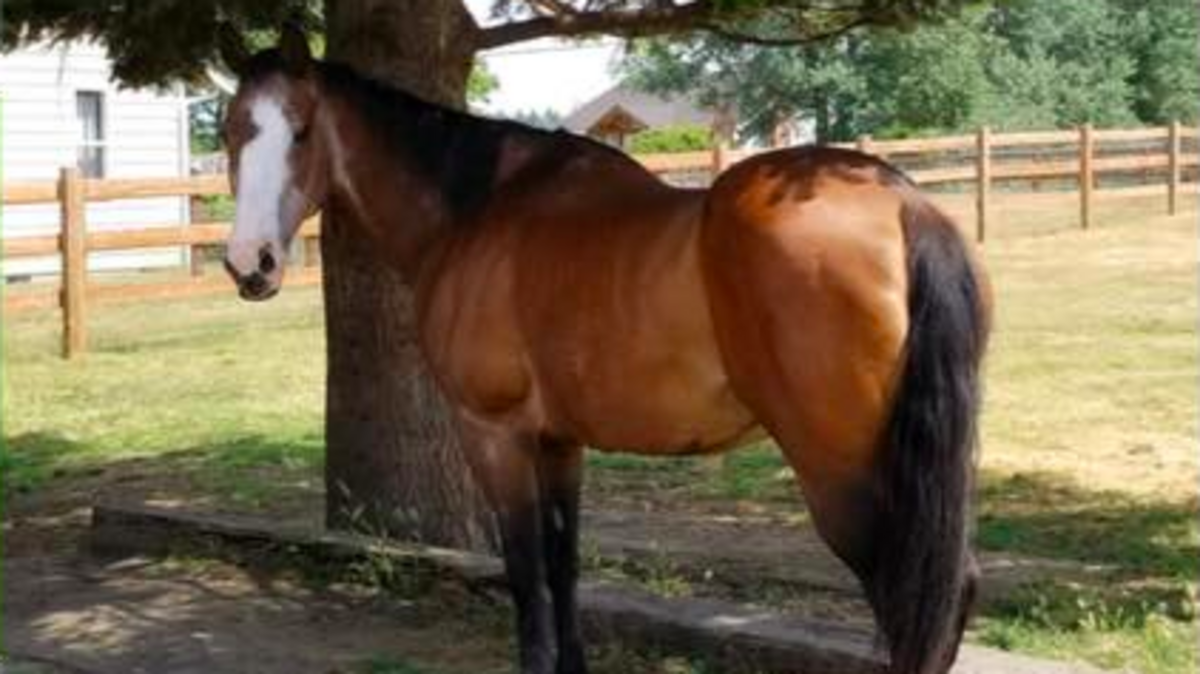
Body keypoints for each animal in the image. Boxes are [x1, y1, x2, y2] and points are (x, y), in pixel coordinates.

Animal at [219, 27, 990, 674]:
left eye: (301, 130)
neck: (478, 208)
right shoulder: (560, 441)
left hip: (842, 476)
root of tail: (901, 203)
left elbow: (526, 575)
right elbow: (564, 568)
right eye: (229, 132)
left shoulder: (495, 434)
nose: (250, 263)